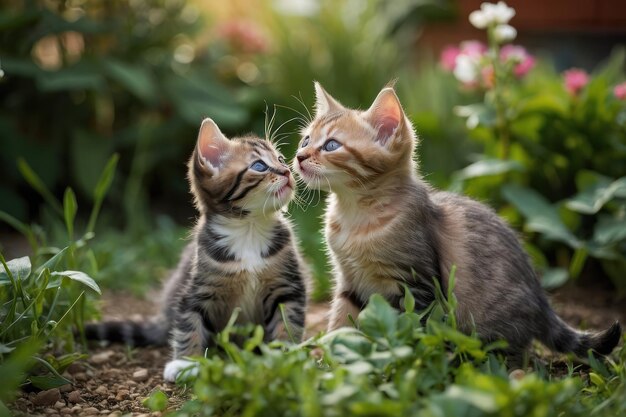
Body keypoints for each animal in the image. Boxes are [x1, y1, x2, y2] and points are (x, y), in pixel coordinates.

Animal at [86, 117, 308, 380]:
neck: (249, 230)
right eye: (259, 166)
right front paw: (185, 362)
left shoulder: (288, 286)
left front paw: (286, 355)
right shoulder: (197, 289)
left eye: (281, 159)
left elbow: (288, 322)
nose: (288, 171)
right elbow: (188, 322)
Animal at [292, 83, 620, 360]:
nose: (298, 156)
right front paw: (327, 356)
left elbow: (408, 326)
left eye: (331, 145)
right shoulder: (348, 279)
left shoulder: (416, 284)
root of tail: (542, 303)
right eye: (306, 139)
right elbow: (341, 321)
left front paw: (398, 354)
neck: (354, 215)